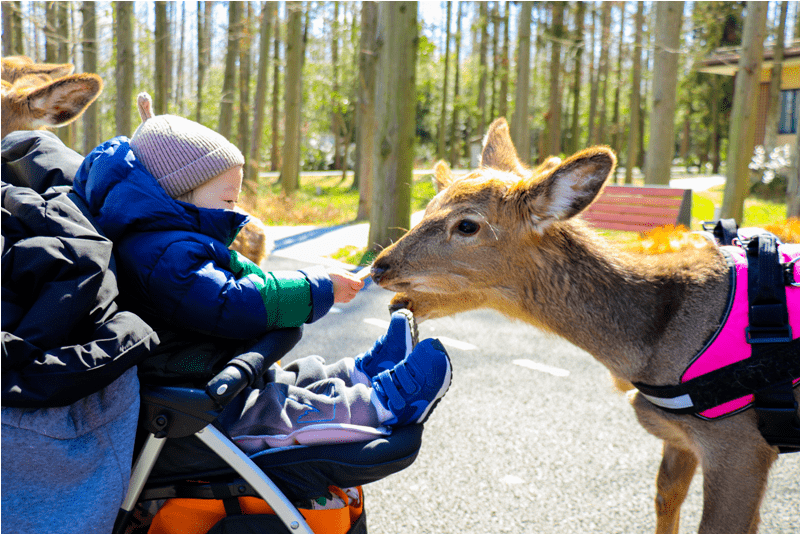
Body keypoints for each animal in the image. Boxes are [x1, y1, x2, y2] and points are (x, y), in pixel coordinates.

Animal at [372, 118, 796, 535]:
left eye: (466, 225)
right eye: (428, 206)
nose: (379, 266)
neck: (653, 346)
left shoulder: (740, 441)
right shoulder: (682, 438)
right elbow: (666, 499)